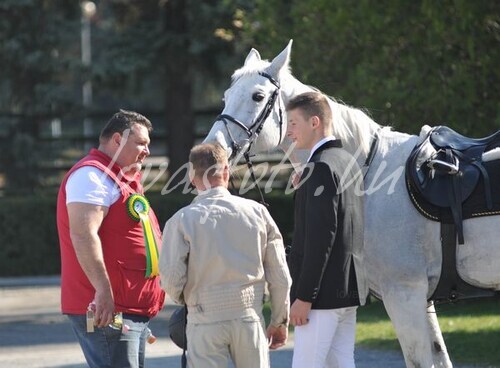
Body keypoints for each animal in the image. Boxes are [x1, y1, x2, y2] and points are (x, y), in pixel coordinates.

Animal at [204, 41, 500, 368]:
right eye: (226, 96)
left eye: (257, 96)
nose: (213, 149)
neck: (370, 174)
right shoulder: (422, 299)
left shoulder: (405, 294)